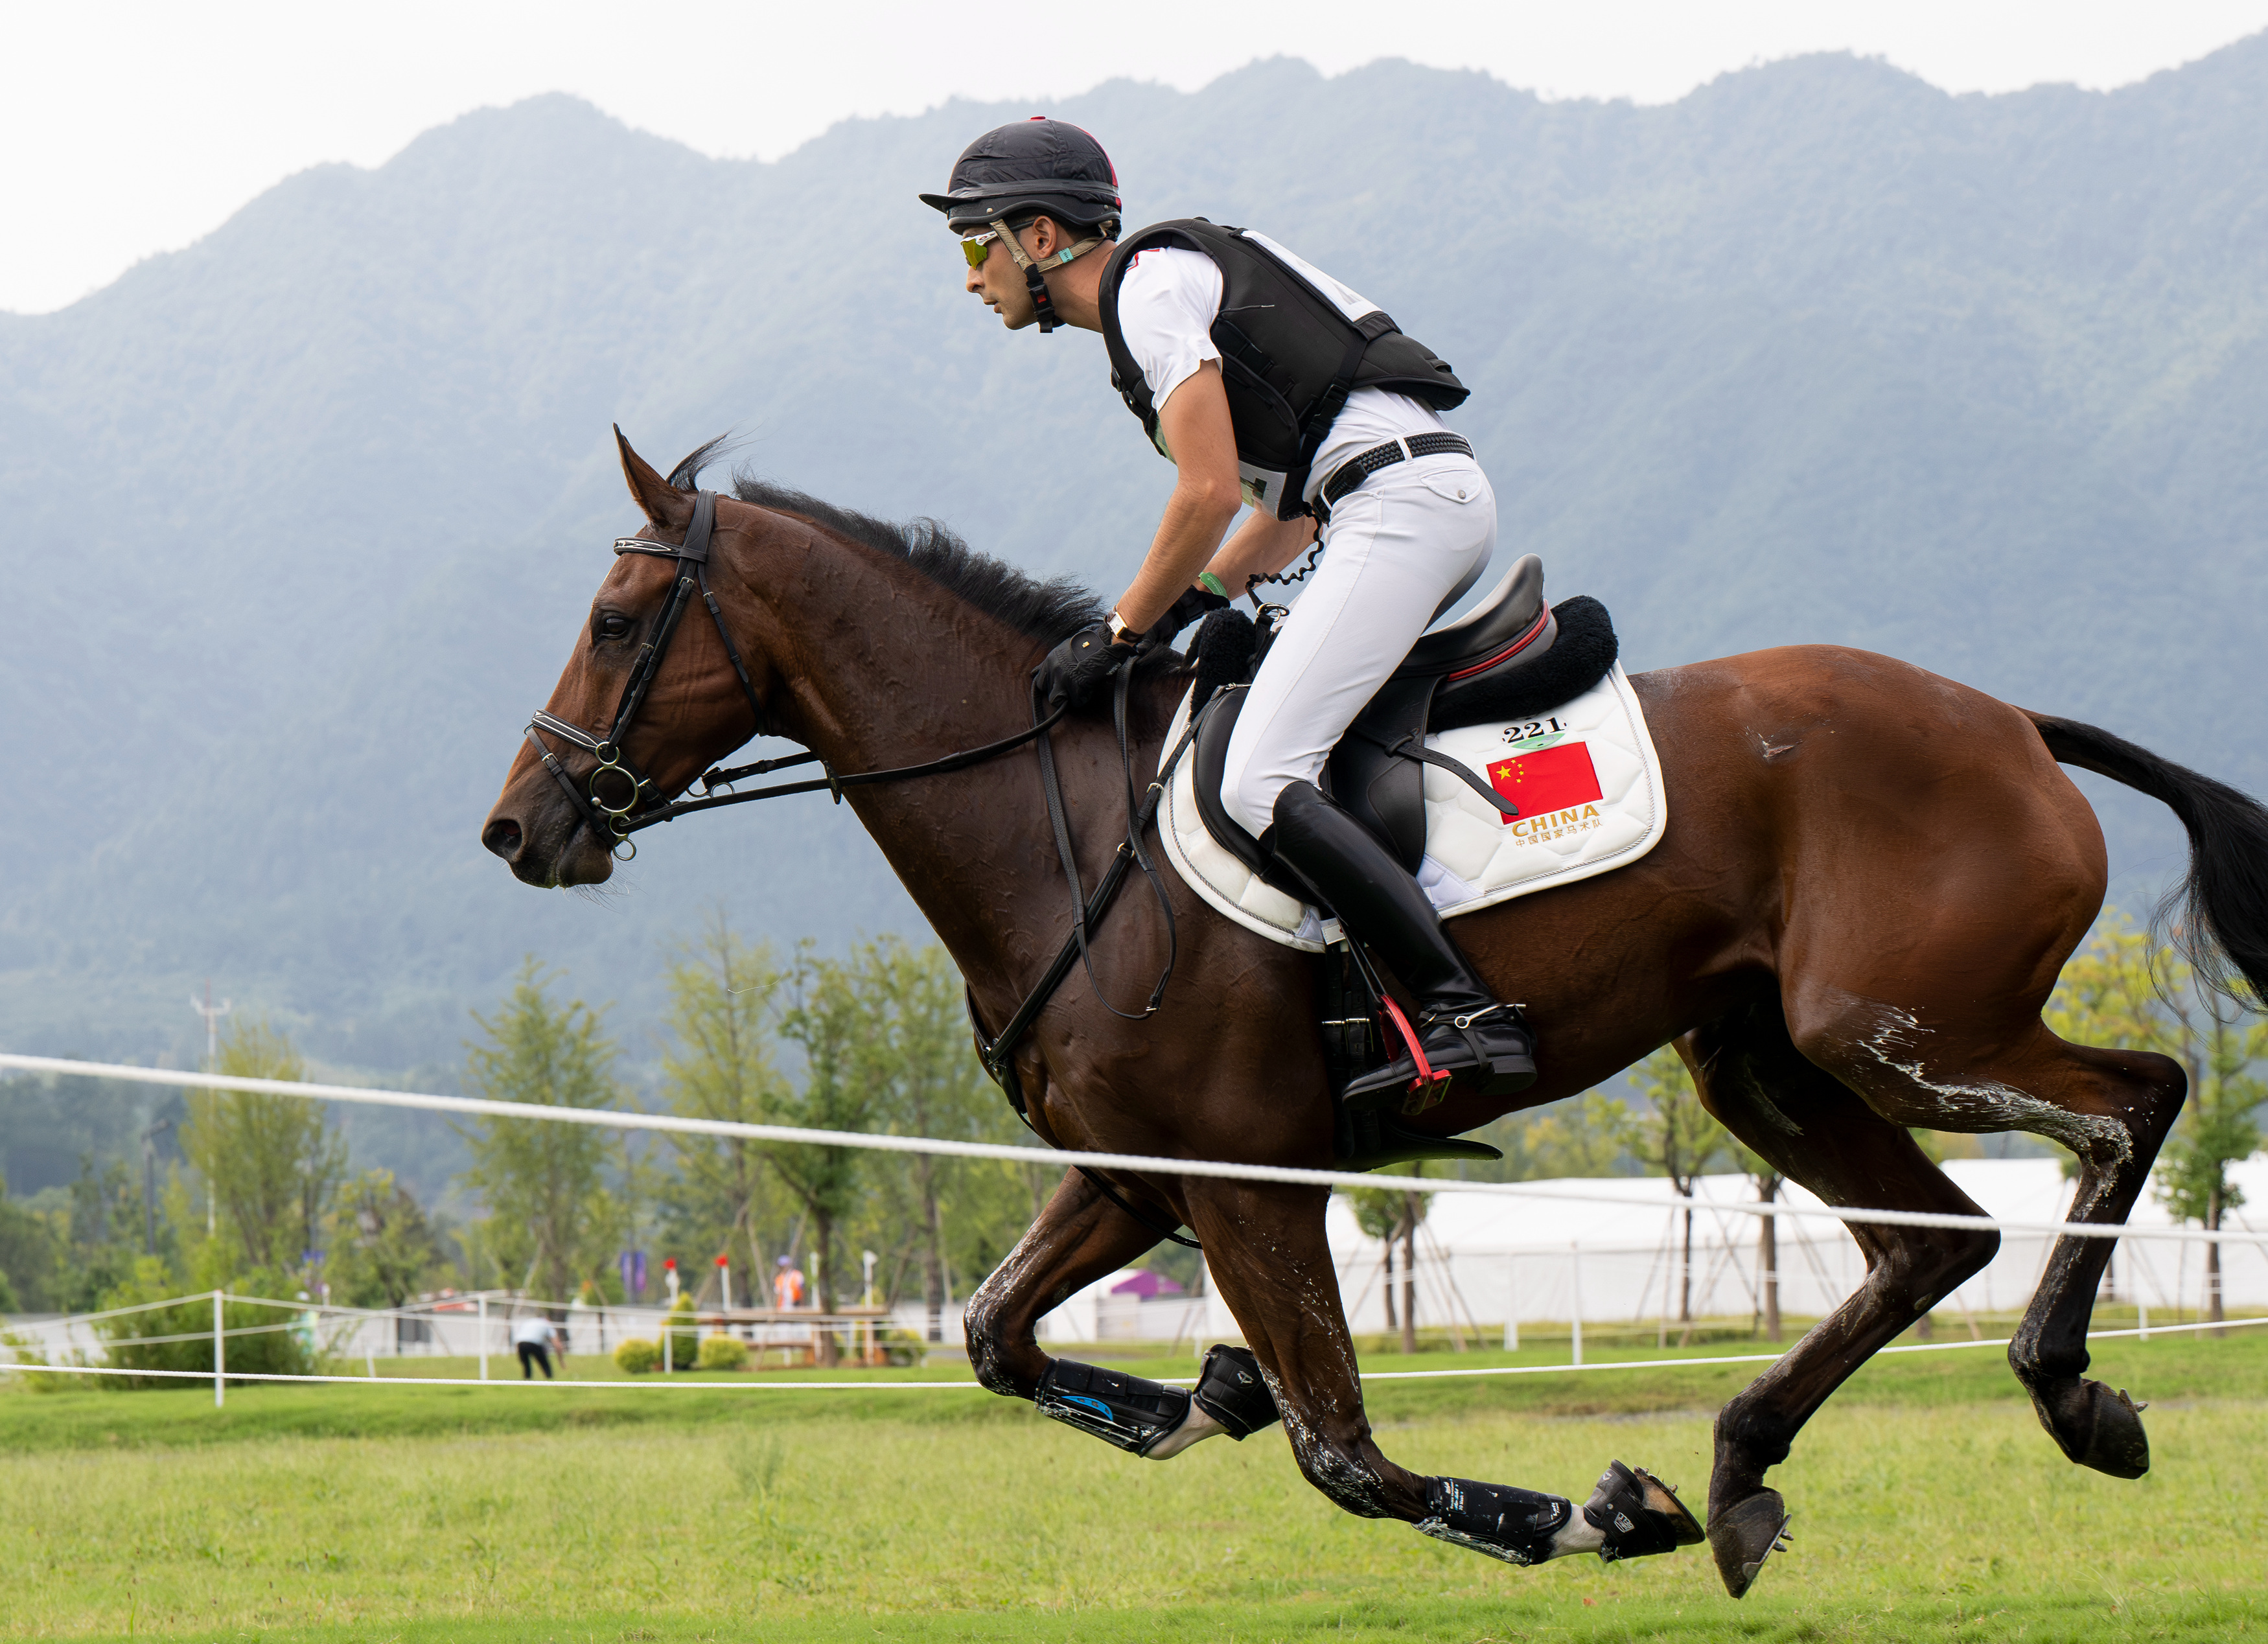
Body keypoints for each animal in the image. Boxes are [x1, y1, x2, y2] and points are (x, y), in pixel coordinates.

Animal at [478, 428, 2268, 1596]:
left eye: (617, 624)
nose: (519, 827)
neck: (1060, 821)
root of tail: (2011, 721)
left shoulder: (1252, 1184)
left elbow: (1344, 1455)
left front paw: (1590, 1515)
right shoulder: (1133, 1178)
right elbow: (997, 1336)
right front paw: (1204, 1390)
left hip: (1896, 1027)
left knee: (2132, 1099)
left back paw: (2063, 1391)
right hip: (1758, 1057)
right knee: (1927, 1237)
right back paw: (1745, 1466)